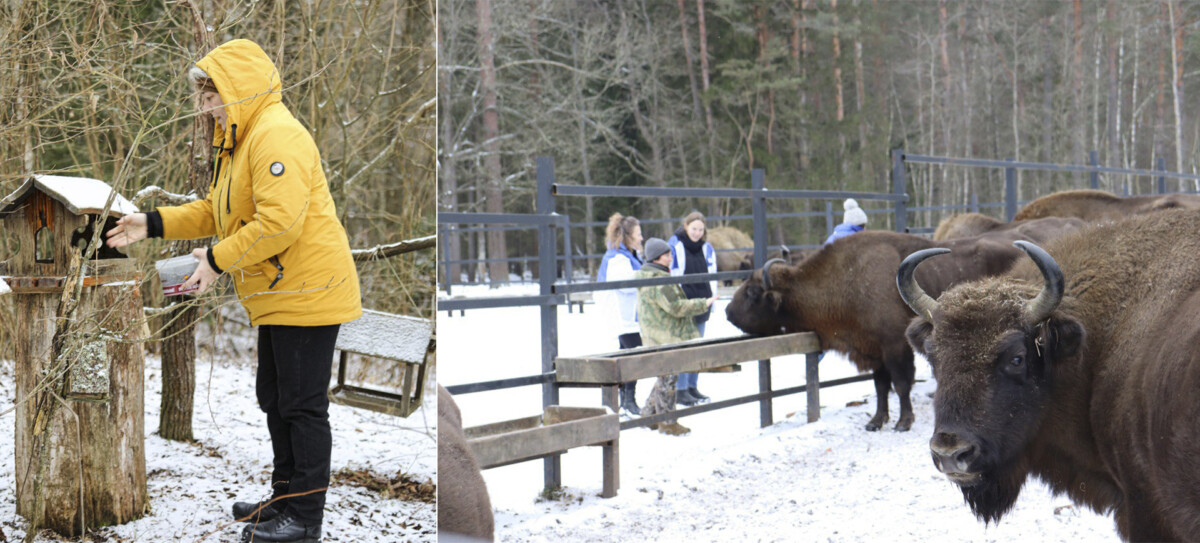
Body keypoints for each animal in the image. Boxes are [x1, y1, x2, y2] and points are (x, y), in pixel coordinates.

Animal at [720, 229, 1032, 432]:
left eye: (752, 292)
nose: (727, 312)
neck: (849, 280)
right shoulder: (873, 351)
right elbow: (880, 386)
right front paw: (875, 421)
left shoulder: (895, 347)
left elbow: (901, 384)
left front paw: (903, 423)